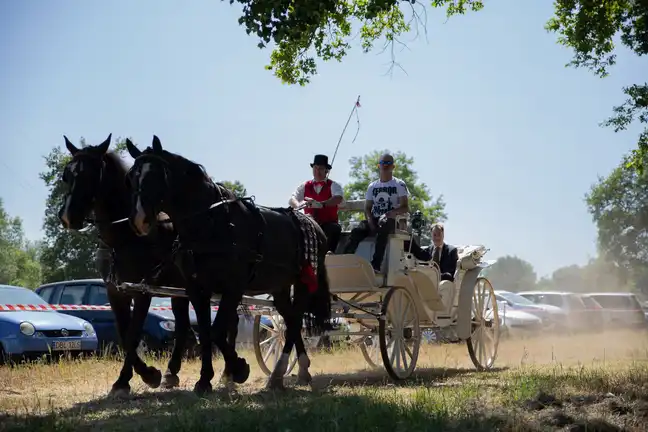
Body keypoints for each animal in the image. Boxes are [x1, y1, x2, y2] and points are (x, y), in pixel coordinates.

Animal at [59, 135, 197, 398]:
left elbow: (133, 334)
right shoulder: (115, 291)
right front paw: (137, 377)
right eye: (66, 175)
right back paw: (172, 372)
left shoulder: (142, 291)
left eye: (90, 174)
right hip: (178, 290)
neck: (124, 238)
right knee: (183, 323)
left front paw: (138, 377)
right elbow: (124, 334)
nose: (68, 216)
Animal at [124, 137, 332, 394]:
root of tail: (315, 225)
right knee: (291, 320)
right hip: (280, 287)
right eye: (131, 176)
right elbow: (205, 331)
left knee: (294, 323)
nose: (138, 220)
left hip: (303, 283)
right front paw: (206, 379)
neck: (212, 224)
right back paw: (293, 371)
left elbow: (216, 331)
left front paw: (238, 369)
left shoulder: (233, 287)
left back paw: (282, 372)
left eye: (156, 174)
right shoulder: (197, 289)